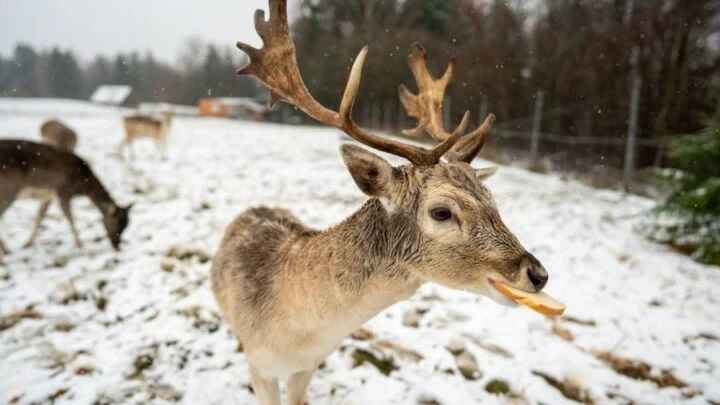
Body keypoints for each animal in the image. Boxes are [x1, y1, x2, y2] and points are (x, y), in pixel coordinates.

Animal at [0, 140, 132, 258]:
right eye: (117, 223)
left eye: (126, 225)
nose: (117, 246)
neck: (83, 186)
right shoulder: (63, 191)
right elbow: (70, 218)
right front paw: (80, 245)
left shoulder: (49, 196)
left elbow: (40, 215)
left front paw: (28, 243)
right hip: (9, 189)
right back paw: (6, 251)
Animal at [211, 1, 556, 402]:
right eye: (442, 212)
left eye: (491, 199)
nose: (537, 274)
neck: (295, 339)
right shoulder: (261, 367)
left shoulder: (307, 368)